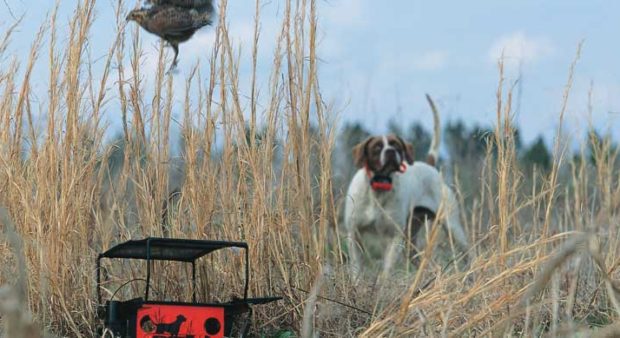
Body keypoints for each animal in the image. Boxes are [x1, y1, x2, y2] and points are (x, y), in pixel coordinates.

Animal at [344, 94, 470, 278]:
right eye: (377, 147)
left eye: (396, 145)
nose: (391, 152)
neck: (379, 188)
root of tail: (429, 166)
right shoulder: (354, 234)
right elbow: (356, 270)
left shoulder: (394, 237)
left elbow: (386, 272)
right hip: (411, 243)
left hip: (452, 228)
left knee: (469, 253)